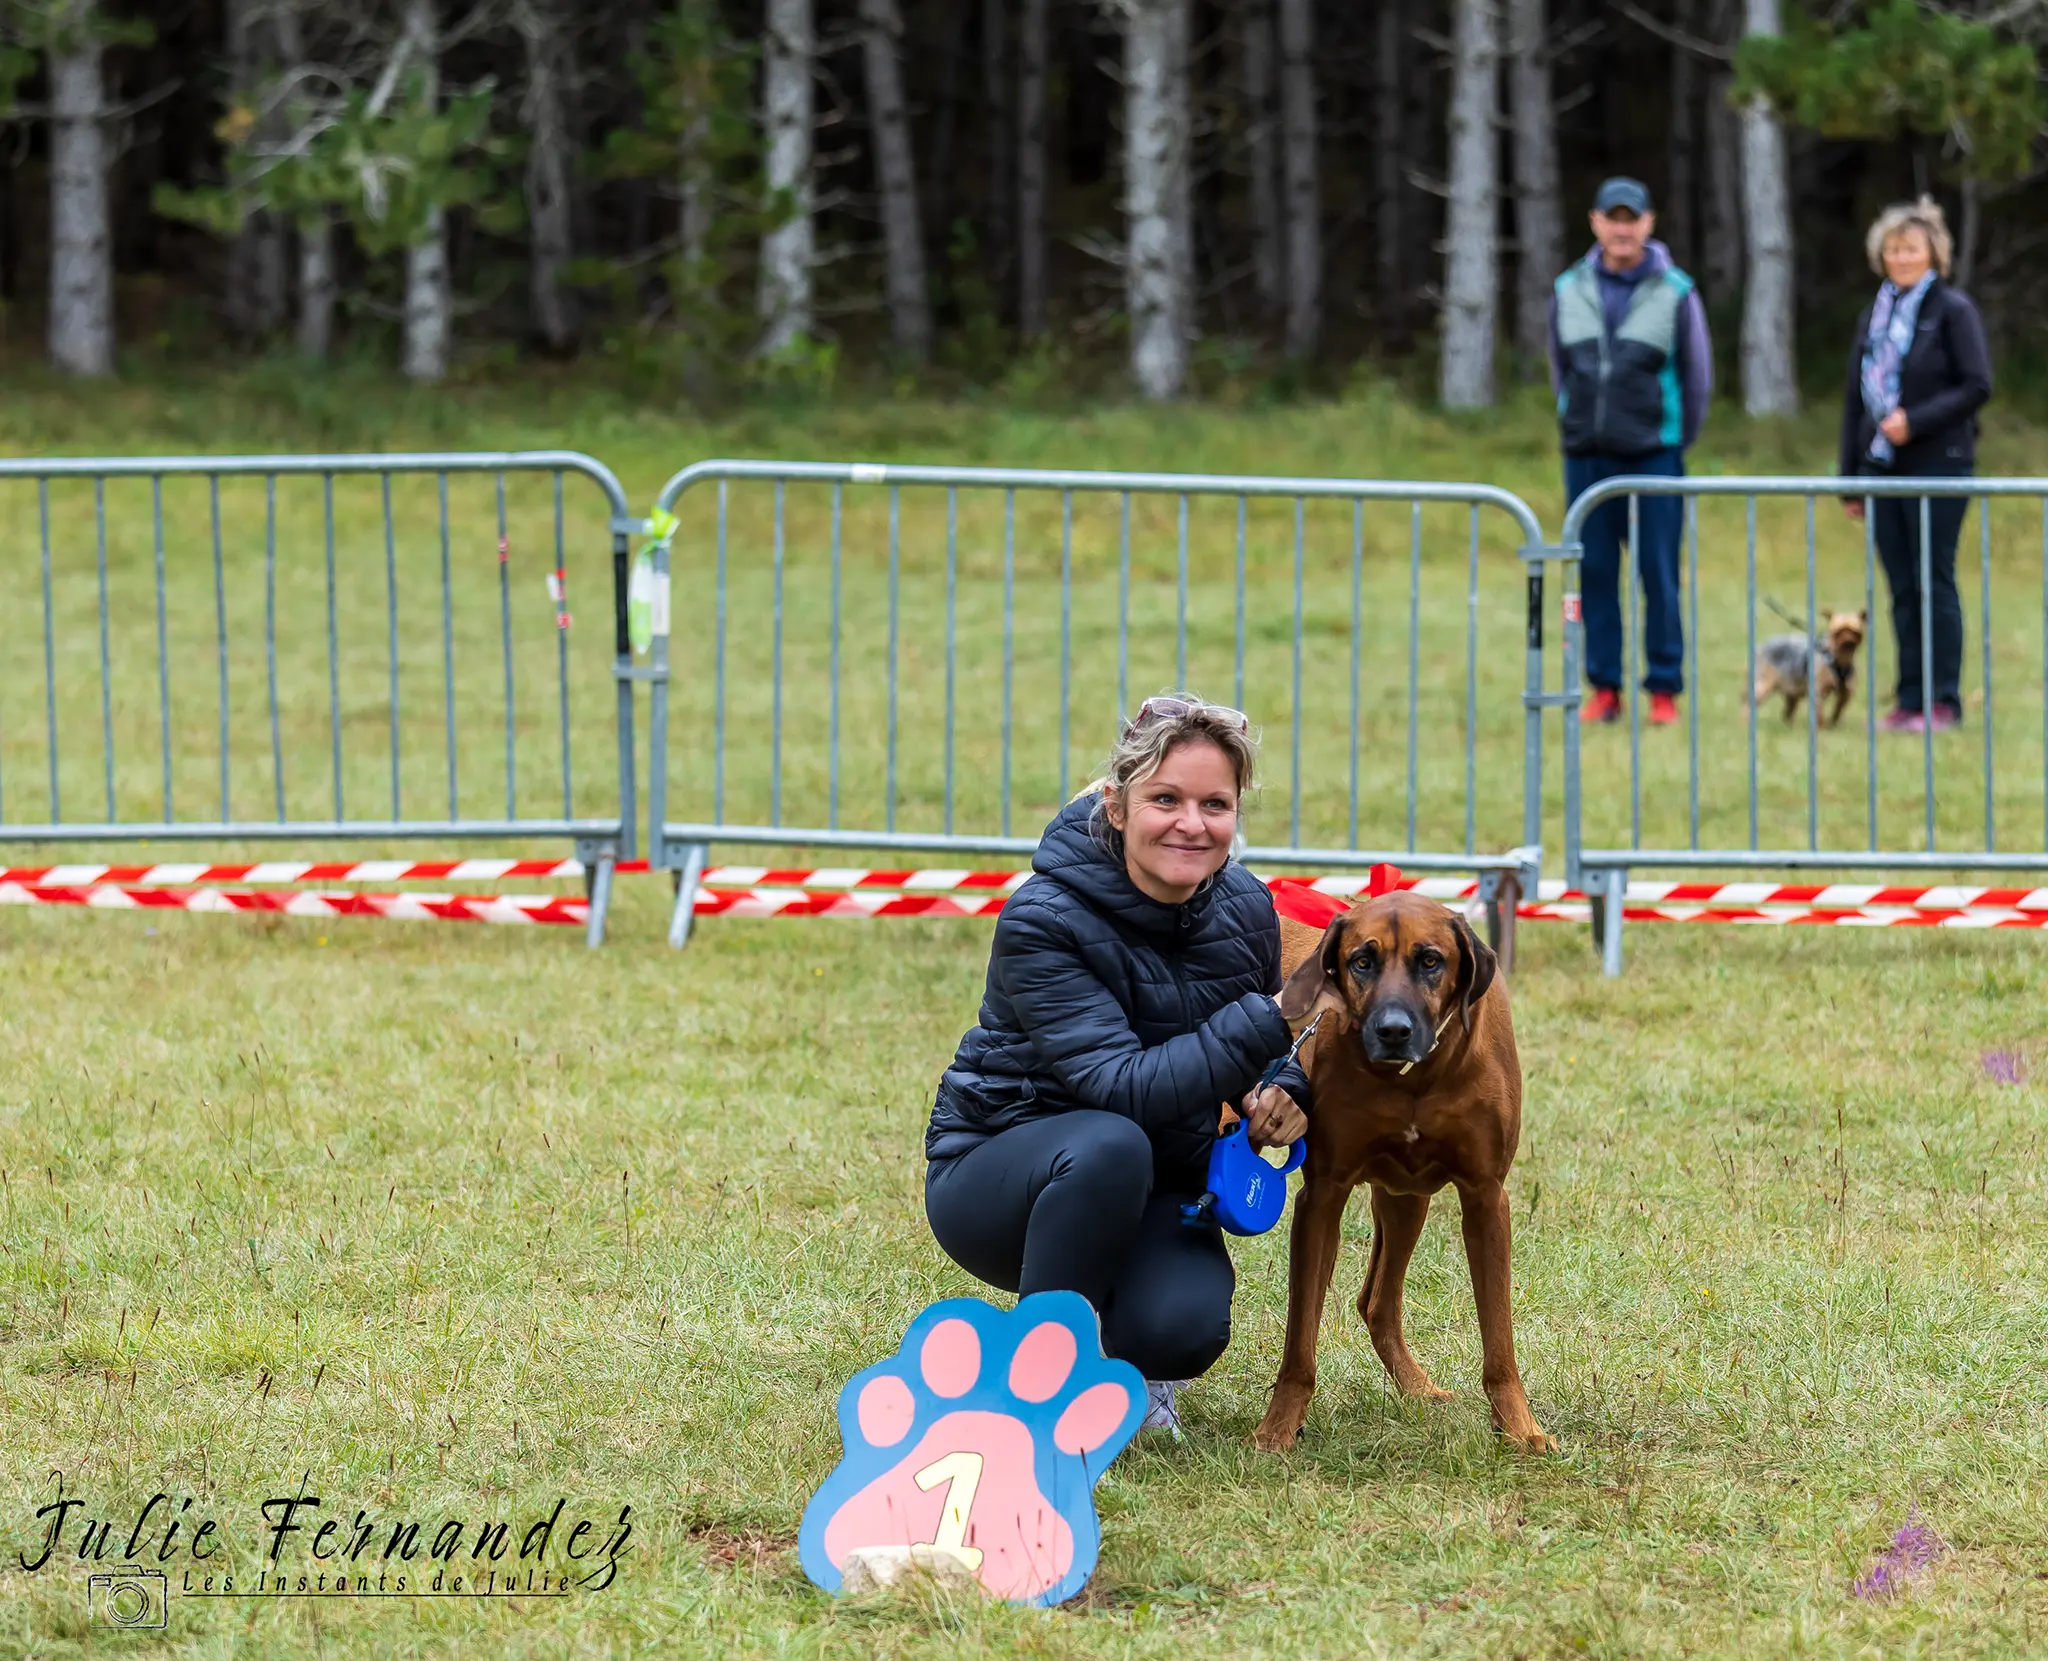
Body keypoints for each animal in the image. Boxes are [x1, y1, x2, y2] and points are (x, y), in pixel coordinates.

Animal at [1245, 897, 1548, 1458]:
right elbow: (1300, 1341)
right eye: (1361, 962)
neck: (1416, 1077)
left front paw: (1518, 1426)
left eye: (1430, 960)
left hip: (1406, 1197)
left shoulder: (1486, 1196)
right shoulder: (1323, 1194)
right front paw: (1278, 1427)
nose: (1392, 1031)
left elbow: (1499, 1336)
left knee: (1377, 1303)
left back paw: (1418, 1388)